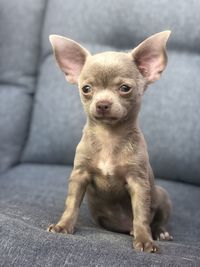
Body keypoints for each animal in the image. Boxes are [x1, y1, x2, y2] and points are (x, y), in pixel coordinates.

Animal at [47, 31, 173, 253]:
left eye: (125, 88)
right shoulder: (79, 176)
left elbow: (141, 215)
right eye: (86, 88)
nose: (103, 104)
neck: (109, 136)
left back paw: (159, 232)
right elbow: (71, 204)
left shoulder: (138, 183)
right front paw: (63, 226)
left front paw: (145, 240)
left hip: (162, 196)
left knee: (157, 219)